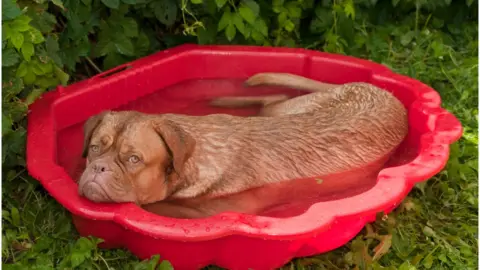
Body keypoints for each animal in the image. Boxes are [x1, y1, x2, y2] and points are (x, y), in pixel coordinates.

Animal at [77, 72, 406, 217]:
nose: (98, 167)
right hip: (290, 109)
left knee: (273, 99)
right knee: (274, 99)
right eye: (94, 148)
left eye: (133, 159)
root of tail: (381, 90)